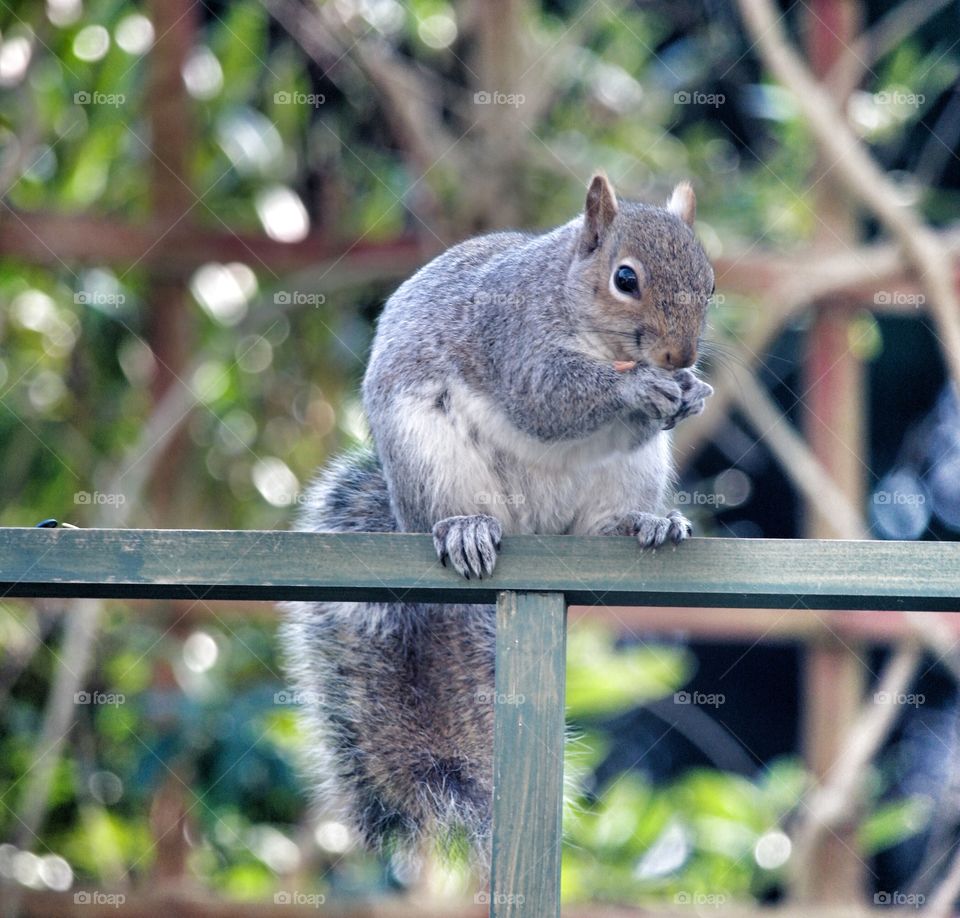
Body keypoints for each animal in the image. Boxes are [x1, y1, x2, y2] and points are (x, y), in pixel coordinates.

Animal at [281, 172, 714, 867]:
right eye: (625, 278)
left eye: (711, 281)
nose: (681, 356)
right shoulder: (512, 340)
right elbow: (547, 398)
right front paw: (636, 388)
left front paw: (694, 391)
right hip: (432, 460)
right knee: (453, 515)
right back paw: (465, 530)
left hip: (630, 475)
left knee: (597, 525)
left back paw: (645, 525)